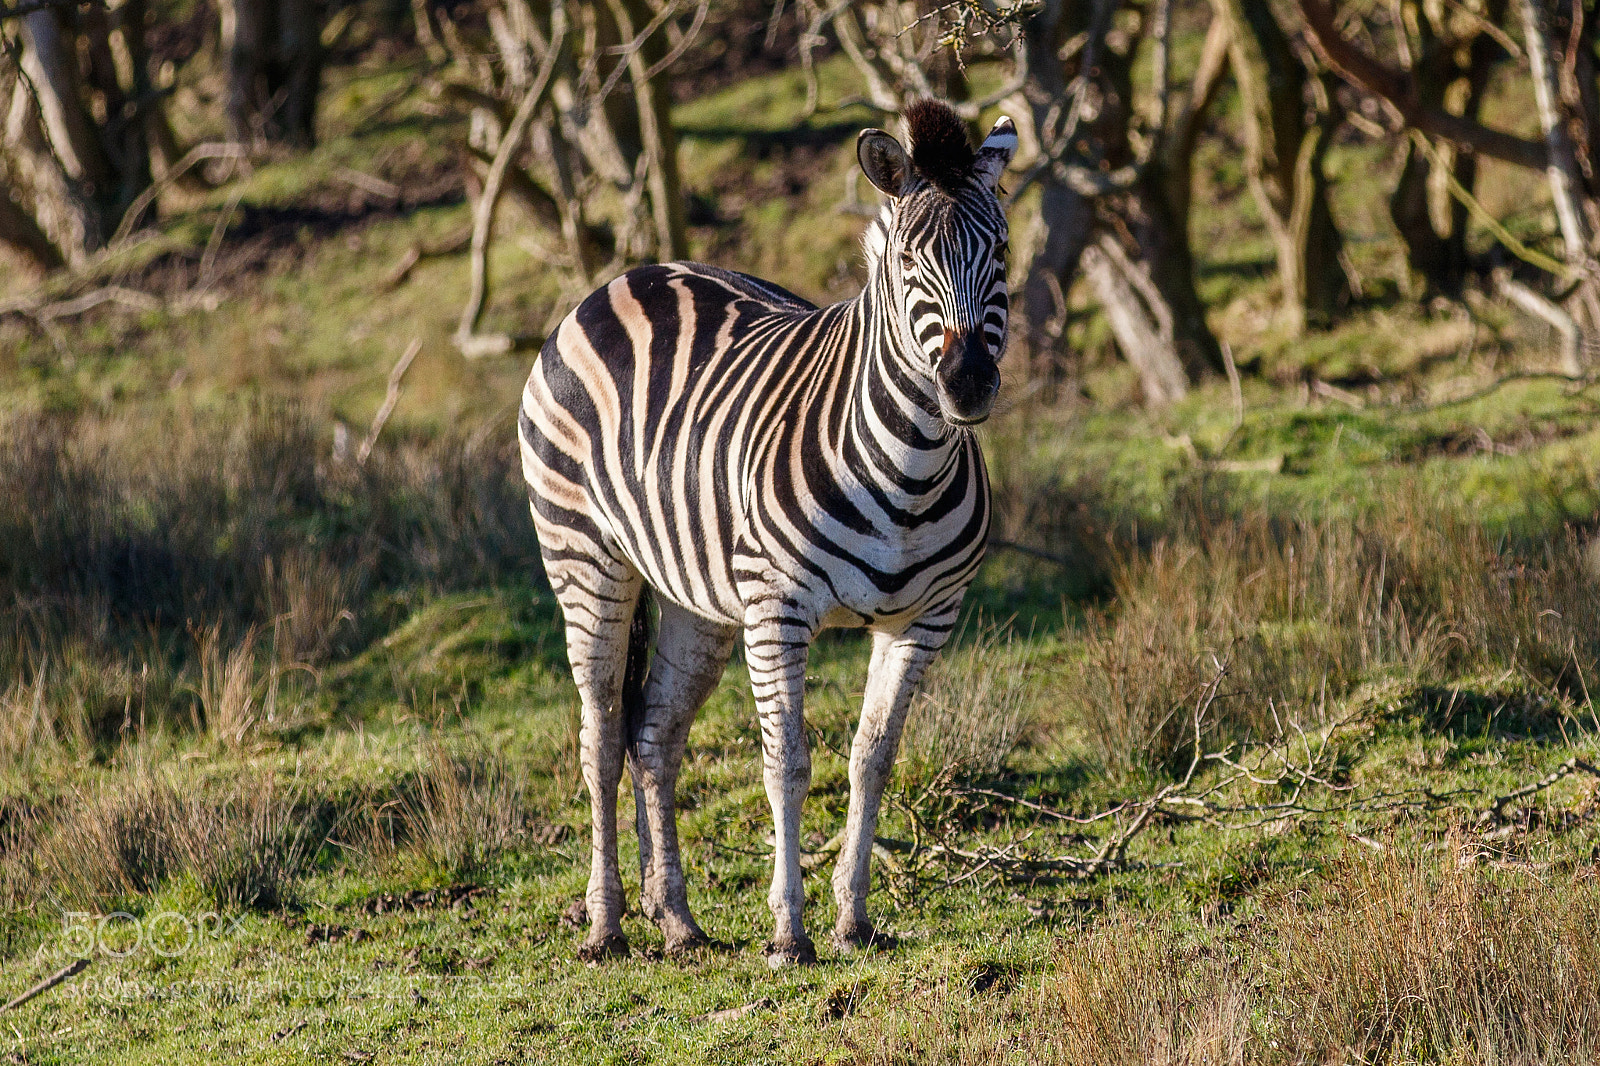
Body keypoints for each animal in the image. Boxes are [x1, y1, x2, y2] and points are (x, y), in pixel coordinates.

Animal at [519, 99, 1016, 966]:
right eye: (909, 263)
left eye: (1001, 252)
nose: (967, 385)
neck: (913, 463)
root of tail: (625, 277)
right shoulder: (778, 610)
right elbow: (787, 762)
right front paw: (790, 932)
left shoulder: (927, 618)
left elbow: (871, 757)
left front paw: (853, 919)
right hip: (585, 558)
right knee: (601, 739)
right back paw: (607, 925)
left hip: (699, 598)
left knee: (654, 737)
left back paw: (677, 921)